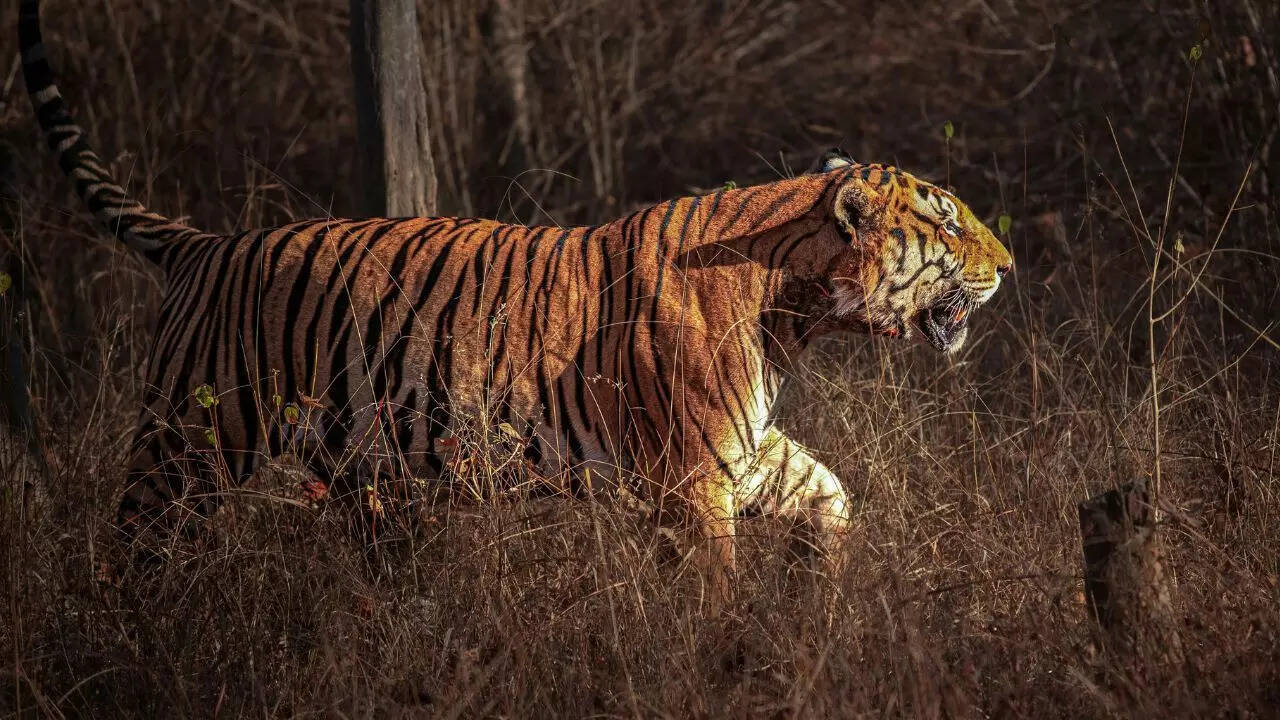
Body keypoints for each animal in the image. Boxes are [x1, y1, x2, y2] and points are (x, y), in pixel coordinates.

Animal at [20, 0, 1011, 605]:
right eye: (947, 220)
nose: (1009, 264)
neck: (797, 311)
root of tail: (203, 245)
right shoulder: (692, 478)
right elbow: (711, 593)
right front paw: (730, 655)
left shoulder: (746, 453)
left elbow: (831, 493)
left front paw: (816, 590)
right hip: (185, 446)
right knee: (129, 552)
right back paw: (128, 639)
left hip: (360, 472)